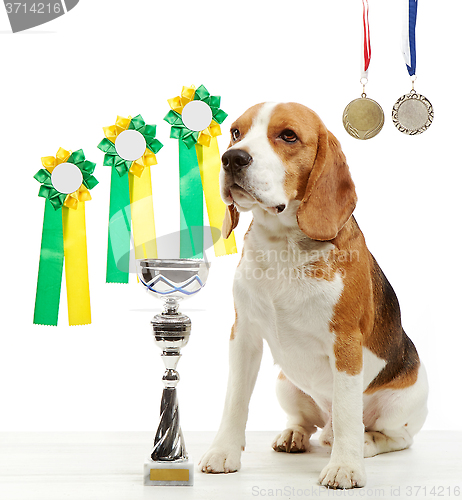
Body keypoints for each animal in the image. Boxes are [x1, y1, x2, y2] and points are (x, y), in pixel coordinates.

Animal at [197, 101, 428, 488]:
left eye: (288, 136)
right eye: (235, 132)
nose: (232, 158)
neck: (283, 244)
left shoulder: (346, 343)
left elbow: (349, 411)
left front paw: (345, 467)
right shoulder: (243, 336)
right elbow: (235, 400)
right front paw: (222, 451)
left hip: (404, 401)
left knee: (391, 435)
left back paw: (364, 443)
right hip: (285, 385)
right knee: (310, 423)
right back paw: (294, 434)